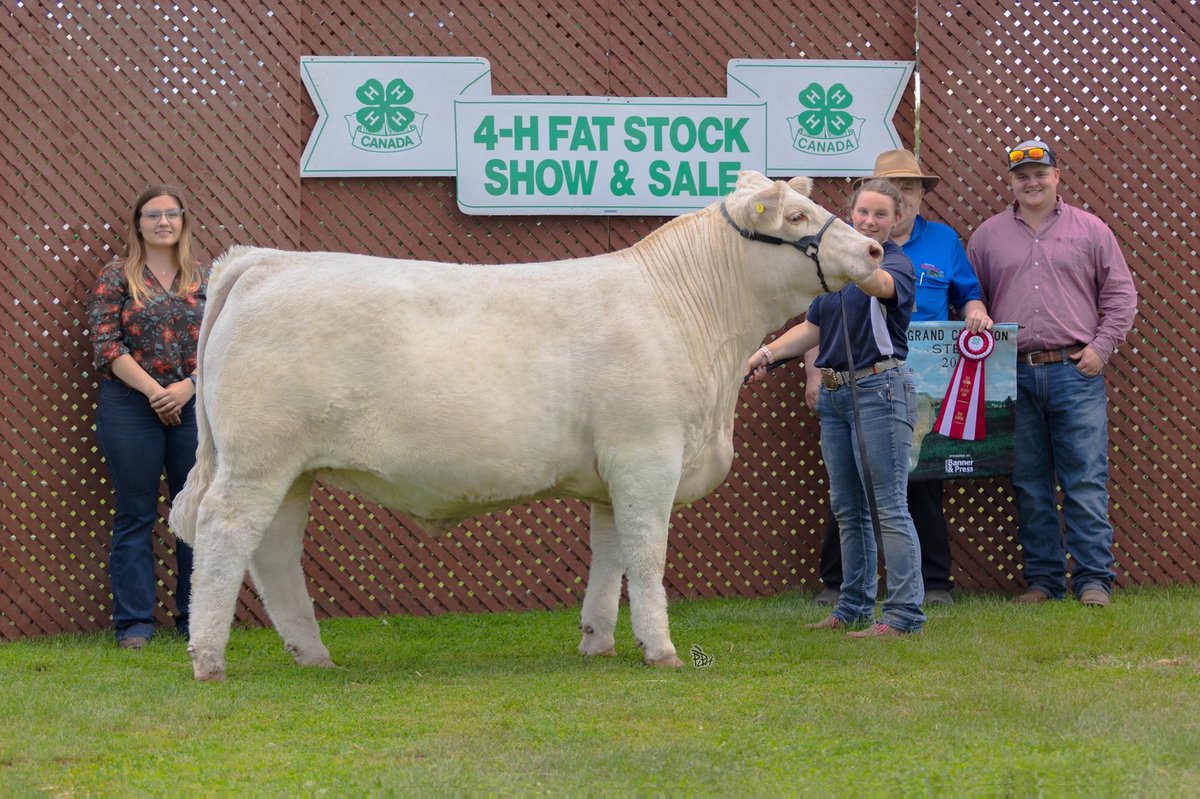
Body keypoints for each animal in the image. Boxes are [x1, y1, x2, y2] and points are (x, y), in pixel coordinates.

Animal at [169, 170, 884, 681]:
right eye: (797, 217)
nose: (875, 247)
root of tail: (266, 260)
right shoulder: (647, 452)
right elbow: (648, 554)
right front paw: (661, 648)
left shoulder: (612, 472)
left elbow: (611, 554)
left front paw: (598, 640)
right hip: (258, 459)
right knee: (225, 533)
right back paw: (208, 659)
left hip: (293, 468)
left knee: (273, 551)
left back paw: (311, 653)